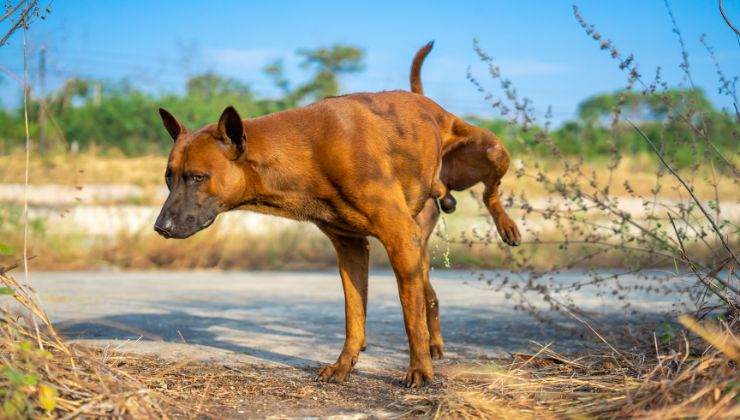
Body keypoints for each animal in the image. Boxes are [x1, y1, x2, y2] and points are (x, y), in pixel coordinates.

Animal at [153, 42, 516, 388]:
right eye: (169, 177)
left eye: (197, 177)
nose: (160, 227)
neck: (308, 152)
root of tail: (430, 105)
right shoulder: (351, 247)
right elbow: (354, 314)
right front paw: (345, 365)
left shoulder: (400, 239)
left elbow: (409, 317)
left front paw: (419, 371)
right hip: (421, 246)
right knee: (430, 292)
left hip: (492, 152)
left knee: (490, 192)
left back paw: (507, 226)